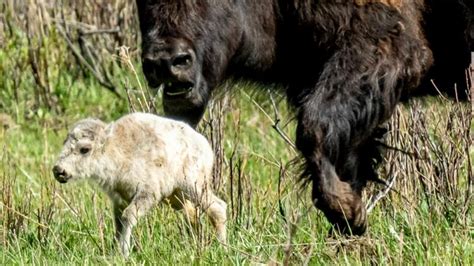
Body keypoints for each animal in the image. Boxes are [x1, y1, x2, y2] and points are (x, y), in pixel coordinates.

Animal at [52, 112, 227, 258]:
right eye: (64, 142)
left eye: (85, 149)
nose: (59, 170)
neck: (117, 149)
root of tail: (205, 145)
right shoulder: (119, 200)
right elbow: (118, 224)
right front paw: (114, 252)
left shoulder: (147, 193)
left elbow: (128, 216)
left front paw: (124, 253)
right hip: (176, 197)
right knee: (193, 215)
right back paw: (195, 245)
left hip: (194, 186)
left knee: (217, 207)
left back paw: (221, 247)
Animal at [135, 1, 472, 236]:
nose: (167, 61)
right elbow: (344, 154)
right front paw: (350, 223)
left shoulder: (383, 49)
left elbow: (314, 128)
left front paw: (347, 212)